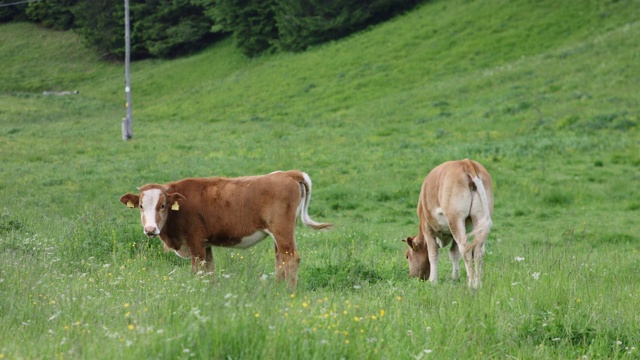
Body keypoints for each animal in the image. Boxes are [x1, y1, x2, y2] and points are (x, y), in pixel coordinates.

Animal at [120, 170, 332, 288]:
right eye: (141, 206)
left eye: (162, 205)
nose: (150, 229)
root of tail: (287, 173)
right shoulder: (206, 245)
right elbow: (210, 272)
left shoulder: (196, 243)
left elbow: (197, 272)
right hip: (279, 234)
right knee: (280, 259)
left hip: (282, 230)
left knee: (292, 258)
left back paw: (289, 292)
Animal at [404, 159, 496, 288]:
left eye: (407, 256)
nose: (412, 277)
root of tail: (466, 163)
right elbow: (454, 253)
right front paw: (455, 277)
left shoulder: (427, 227)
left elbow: (433, 254)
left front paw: (433, 281)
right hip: (478, 218)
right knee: (478, 250)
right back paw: (478, 283)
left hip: (455, 219)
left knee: (466, 249)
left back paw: (471, 283)